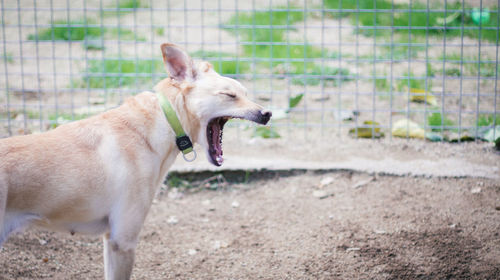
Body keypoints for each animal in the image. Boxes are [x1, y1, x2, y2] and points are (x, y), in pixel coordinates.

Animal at [0, 42, 272, 278]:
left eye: (245, 93)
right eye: (229, 95)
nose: (267, 113)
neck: (163, 120)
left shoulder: (110, 239)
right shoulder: (123, 241)